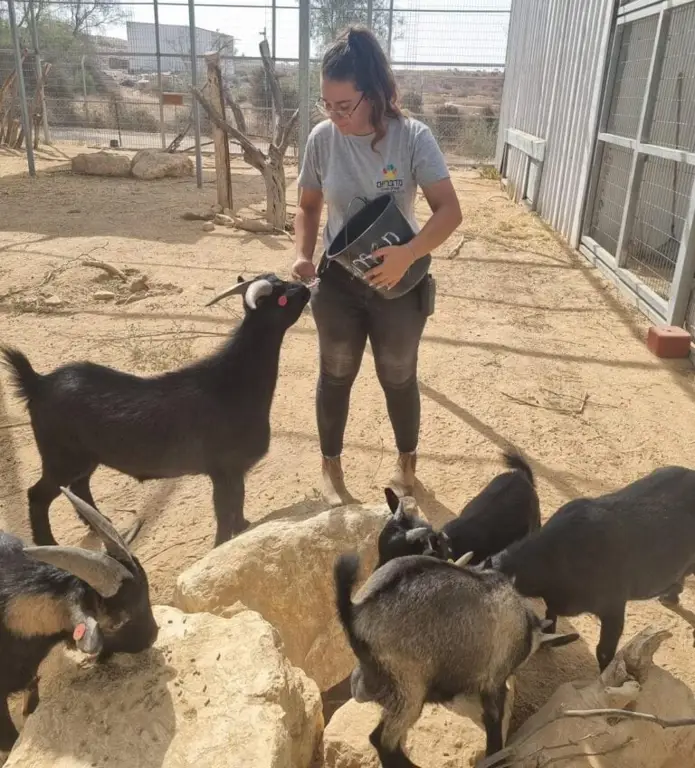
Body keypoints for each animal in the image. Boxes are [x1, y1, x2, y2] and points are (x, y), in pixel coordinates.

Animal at [0, 272, 310, 548]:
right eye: (281, 297)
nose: (307, 288)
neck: (231, 382)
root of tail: (38, 383)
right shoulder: (222, 468)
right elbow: (224, 509)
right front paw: (222, 543)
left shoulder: (237, 469)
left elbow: (239, 500)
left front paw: (244, 527)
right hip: (61, 456)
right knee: (38, 495)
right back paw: (47, 543)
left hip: (85, 456)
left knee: (78, 487)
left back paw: (101, 524)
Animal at [334, 548, 580, 764]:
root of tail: (356, 611)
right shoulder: (494, 680)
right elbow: (494, 720)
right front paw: (496, 757)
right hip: (410, 689)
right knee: (382, 740)